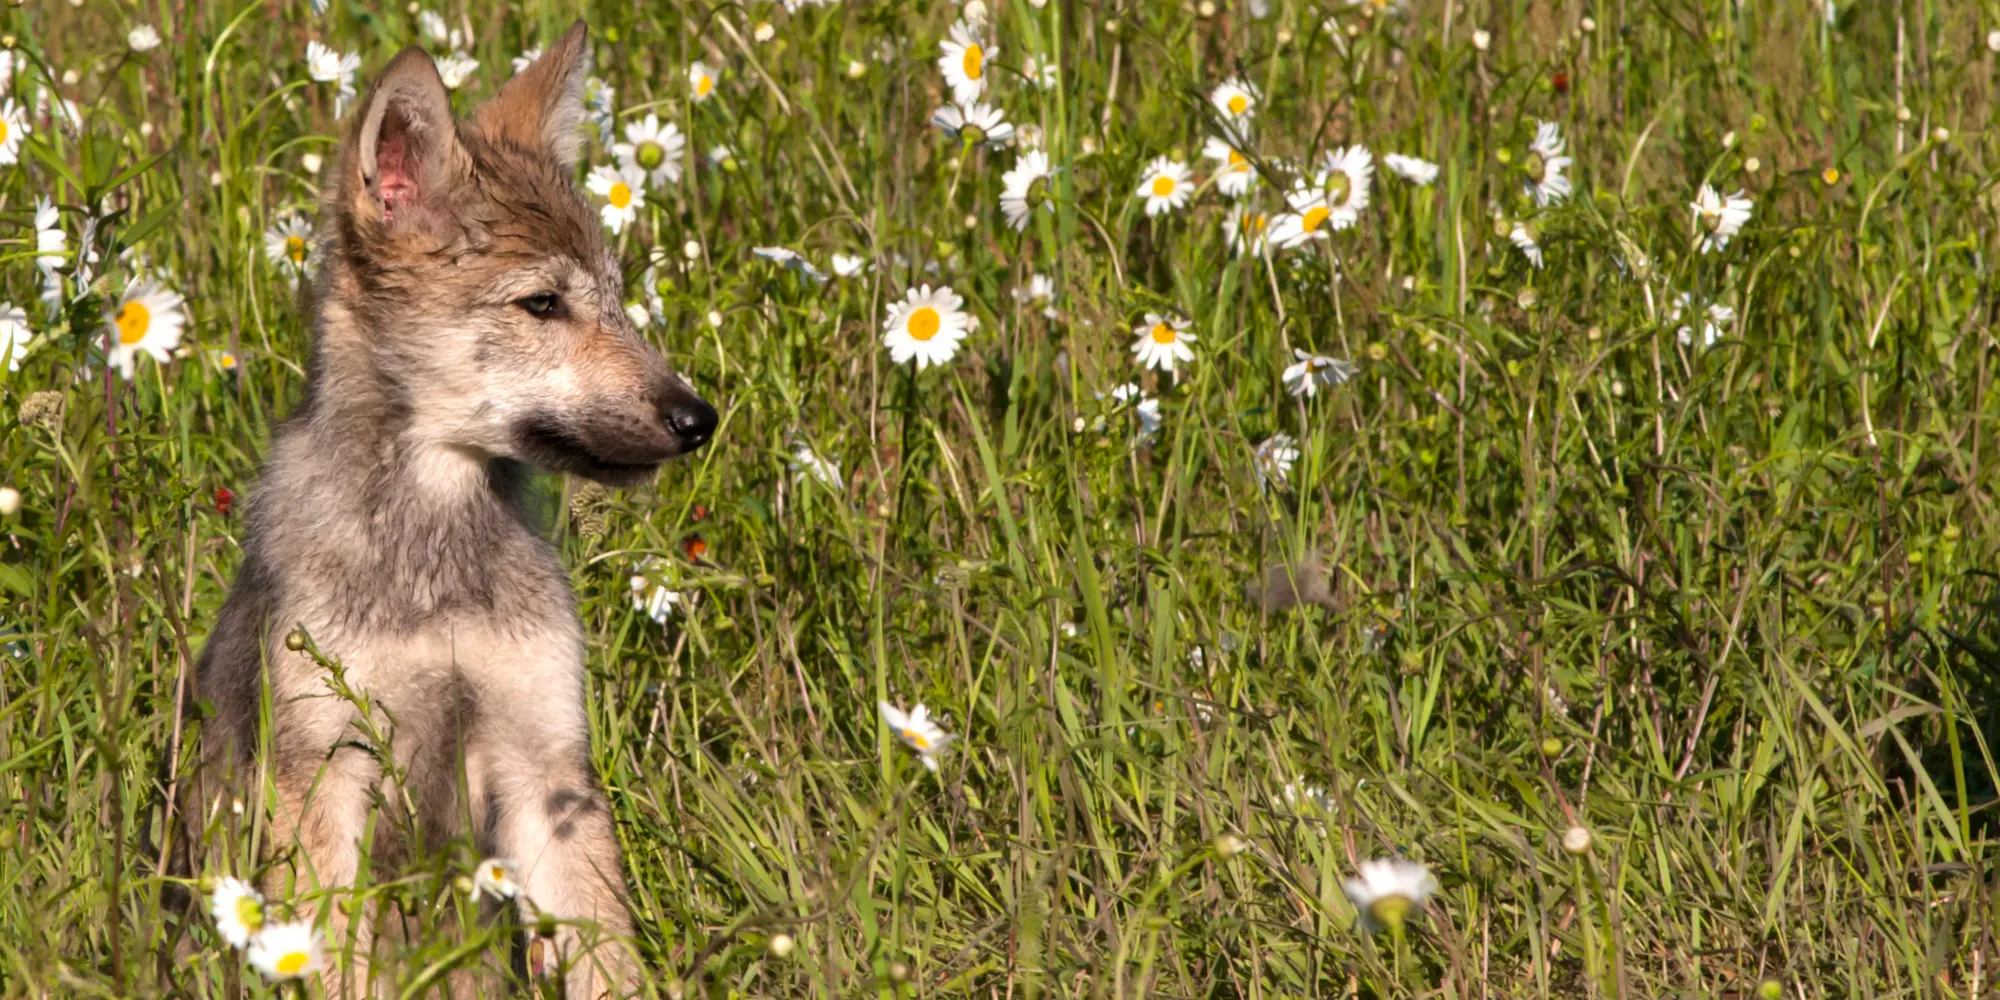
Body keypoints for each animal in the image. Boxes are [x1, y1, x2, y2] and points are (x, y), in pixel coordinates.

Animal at [178, 22, 712, 998]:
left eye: (618, 298)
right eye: (542, 304)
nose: (699, 418)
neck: (436, 563)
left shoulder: (546, 769)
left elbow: (609, 960)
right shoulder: (325, 781)